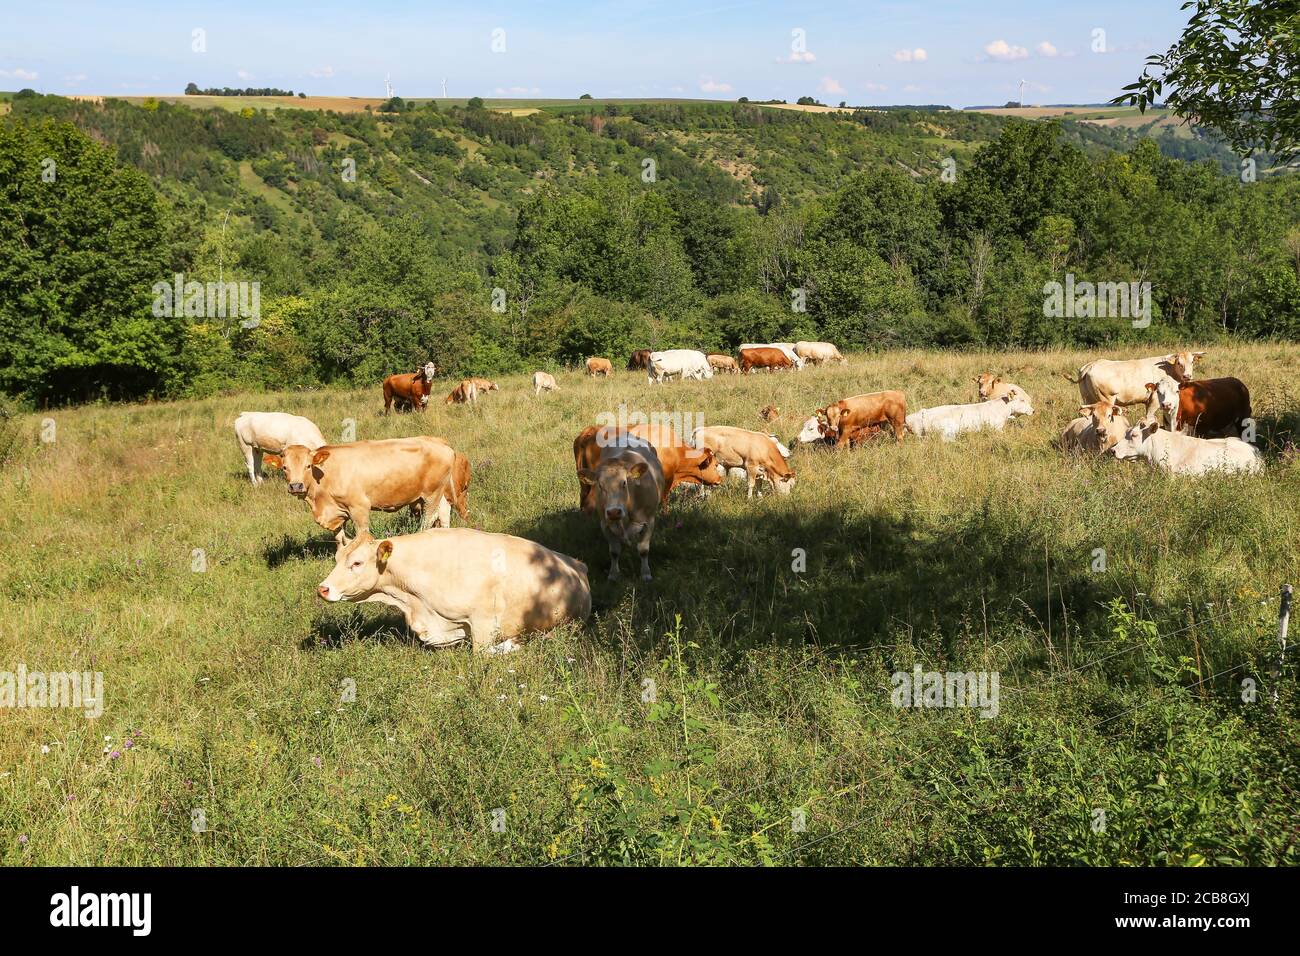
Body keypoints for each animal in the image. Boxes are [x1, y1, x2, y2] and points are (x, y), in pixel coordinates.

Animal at [272, 437, 470, 552]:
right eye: (285, 467)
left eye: (308, 465)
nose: (296, 486)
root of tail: (439, 442)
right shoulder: (336, 511)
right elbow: (339, 537)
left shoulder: (359, 507)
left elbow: (361, 534)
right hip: (439, 493)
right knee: (444, 513)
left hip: (430, 495)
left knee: (429, 518)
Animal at [317, 528, 590, 653]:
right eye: (336, 558)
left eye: (357, 563)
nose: (323, 589)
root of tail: (576, 564)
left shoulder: (483, 622)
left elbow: (483, 654)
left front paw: (512, 645)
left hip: (570, 624)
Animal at [574, 424, 719, 512]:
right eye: (716, 465)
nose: (719, 479)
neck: (674, 450)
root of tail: (590, 431)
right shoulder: (665, 480)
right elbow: (663, 501)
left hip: (584, 484)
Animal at [574, 430, 665, 581]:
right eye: (600, 486)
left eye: (624, 483)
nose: (614, 512)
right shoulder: (605, 524)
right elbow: (614, 551)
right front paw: (613, 574)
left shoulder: (649, 521)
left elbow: (643, 550)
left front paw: (646, 573)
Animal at [1070, 351, 1204, 406]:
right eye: (1179, 363)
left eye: (1192, 362)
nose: (1187, 376)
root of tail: (1092, 364)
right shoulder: (1154, 399)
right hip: (1106, 398)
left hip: (1087, 398)